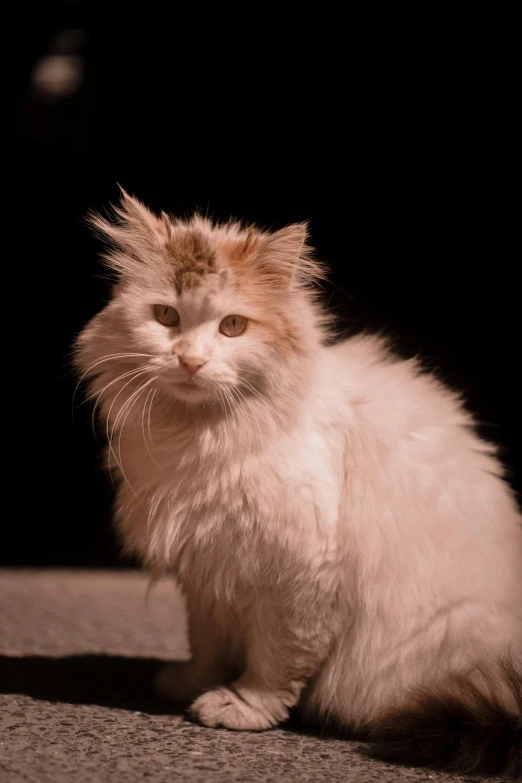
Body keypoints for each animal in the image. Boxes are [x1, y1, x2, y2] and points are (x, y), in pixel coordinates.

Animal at [74, 190, 520, 776]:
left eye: (233, 327)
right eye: (166, 316)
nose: (191, 361)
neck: (203, 437)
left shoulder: (299, 577)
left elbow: (275, 662)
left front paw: (240, 707)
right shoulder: (208, 565)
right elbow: (206, 643)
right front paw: (192, 683)